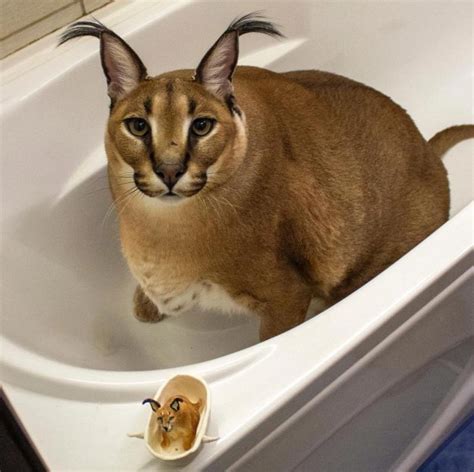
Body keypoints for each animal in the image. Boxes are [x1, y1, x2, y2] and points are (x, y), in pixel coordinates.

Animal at [59, 13, 474, 341]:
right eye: (139, 126)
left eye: (202, 126)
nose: (170, 171)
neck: (162, 226)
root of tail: (425, 147)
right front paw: (147, 303)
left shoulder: (285, 297)